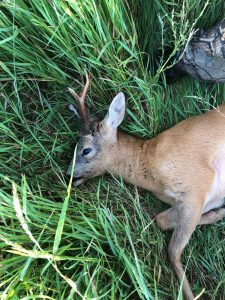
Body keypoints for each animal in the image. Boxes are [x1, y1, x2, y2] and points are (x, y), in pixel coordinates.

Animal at [66, 73, 225, 300]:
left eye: (85, 150)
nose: (68, 175)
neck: (151, 163)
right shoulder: (201, 197)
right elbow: (161, 220)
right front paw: (219, 214)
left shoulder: (197, 184)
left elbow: (173, 251)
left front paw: (190, 295)